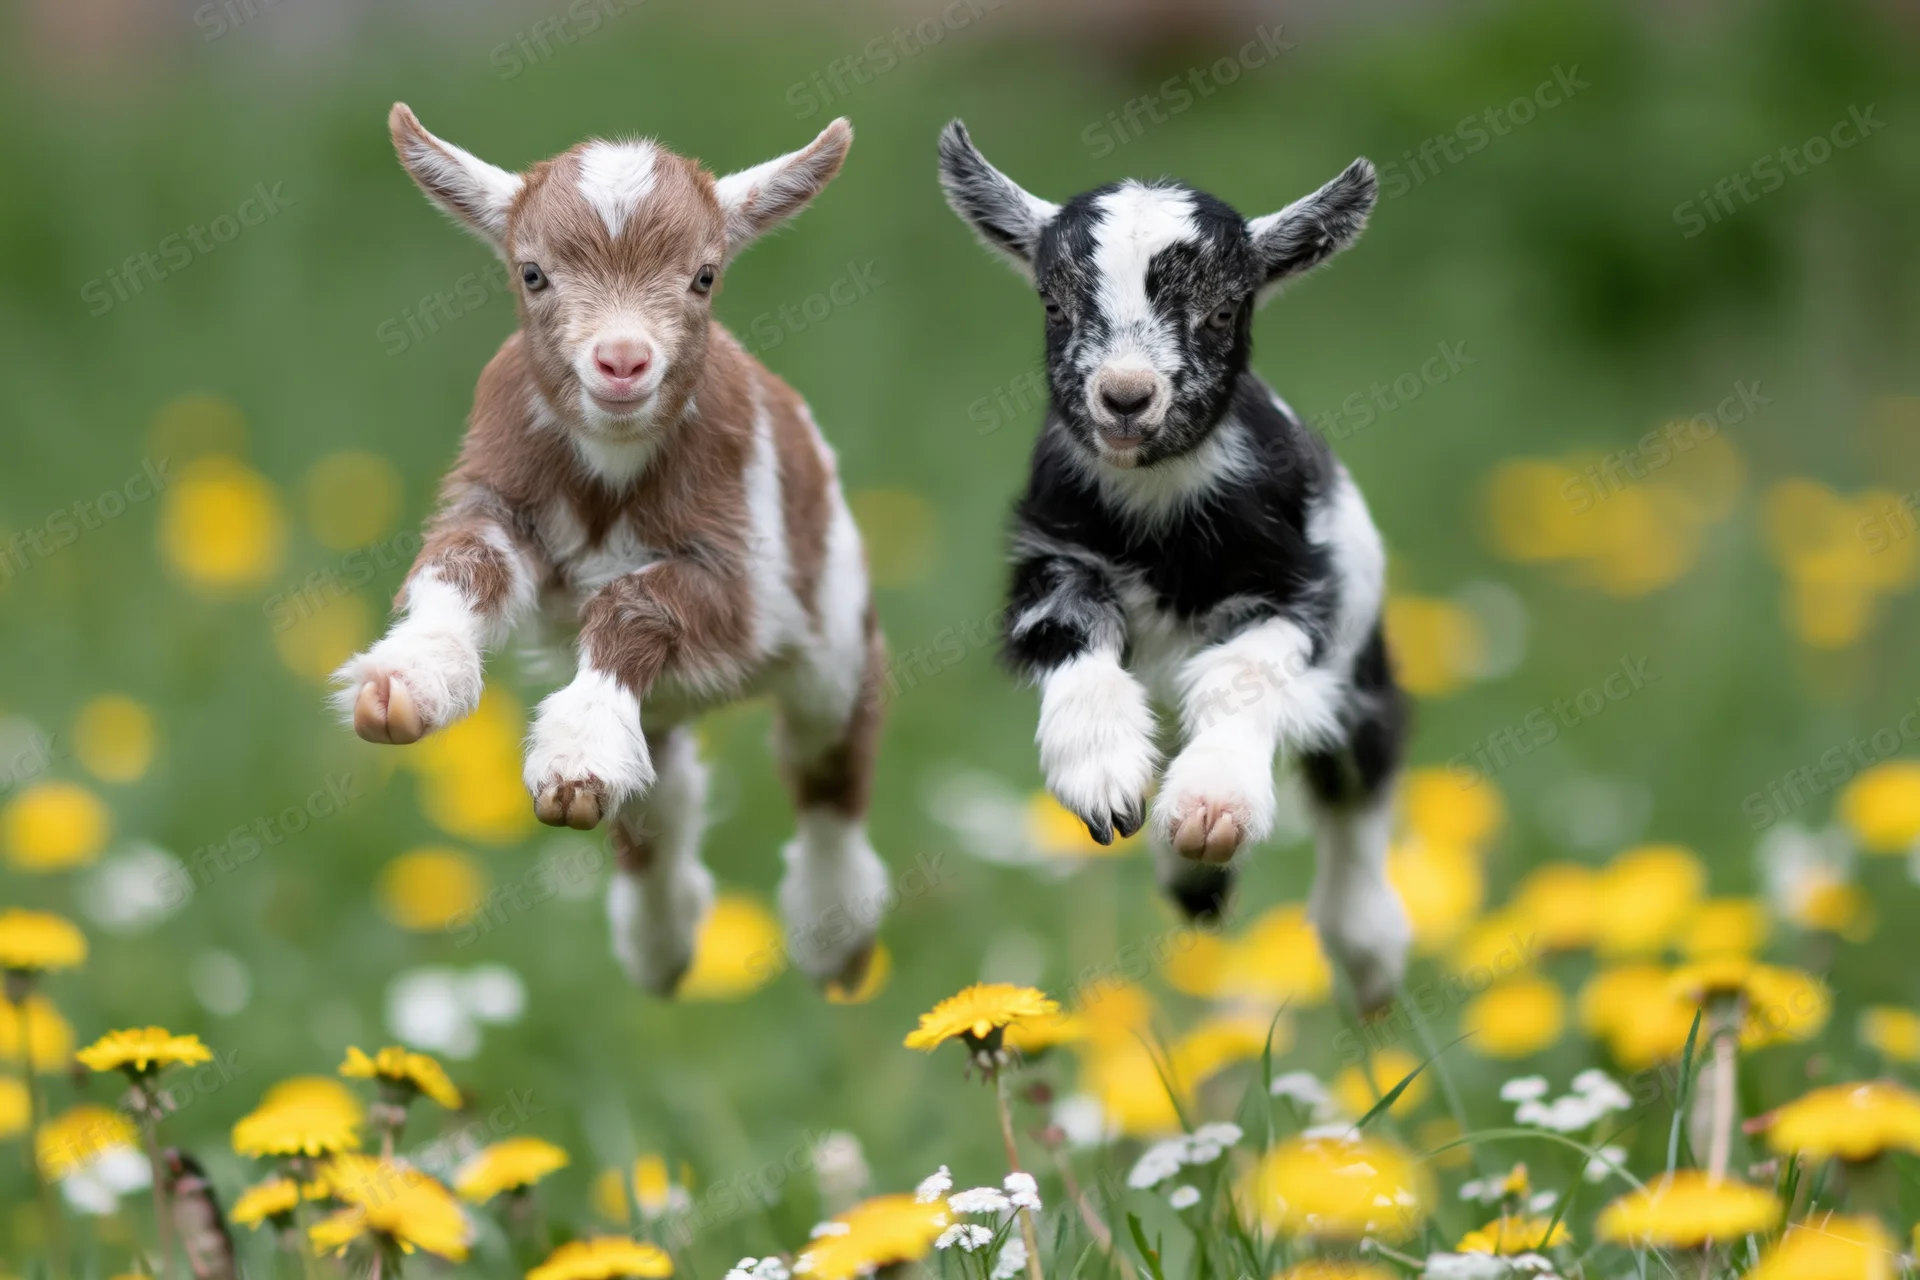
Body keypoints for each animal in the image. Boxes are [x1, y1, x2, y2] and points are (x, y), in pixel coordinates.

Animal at [334, 106, 888, 995]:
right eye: (532, 273)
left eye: (704, 276)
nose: (623, 361)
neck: (613, 462)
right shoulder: (500, 499)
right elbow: (462, 562)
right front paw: (409, 682)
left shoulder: (742, 585)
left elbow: (633, 600)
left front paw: (577, 751)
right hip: (670, 707)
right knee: (664, 797)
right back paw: (661, 942)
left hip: (829, 631)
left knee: (828, 768)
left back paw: (833, 936)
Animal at [938, 121, 1411, 1012]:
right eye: (1055, 304)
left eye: (1224, 308)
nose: (1126, 396)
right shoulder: (1054, 562)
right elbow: (1075, 645)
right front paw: (1104, 778)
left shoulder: (1295, 594)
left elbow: (1239, 676)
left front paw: (1212, 806)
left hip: (1365, 676)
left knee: (1360, 787)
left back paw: (1365, 951)